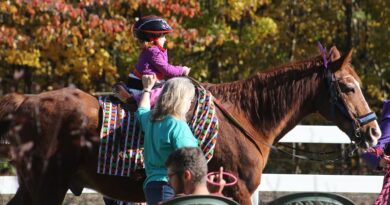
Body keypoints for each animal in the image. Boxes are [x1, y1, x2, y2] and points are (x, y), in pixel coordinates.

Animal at [0, 46, 380, 205]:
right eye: (348, 86)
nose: (374, 131)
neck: (246, 117)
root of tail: (26, 101)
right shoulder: (238, 190)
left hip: (33, 187)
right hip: (47, 188)